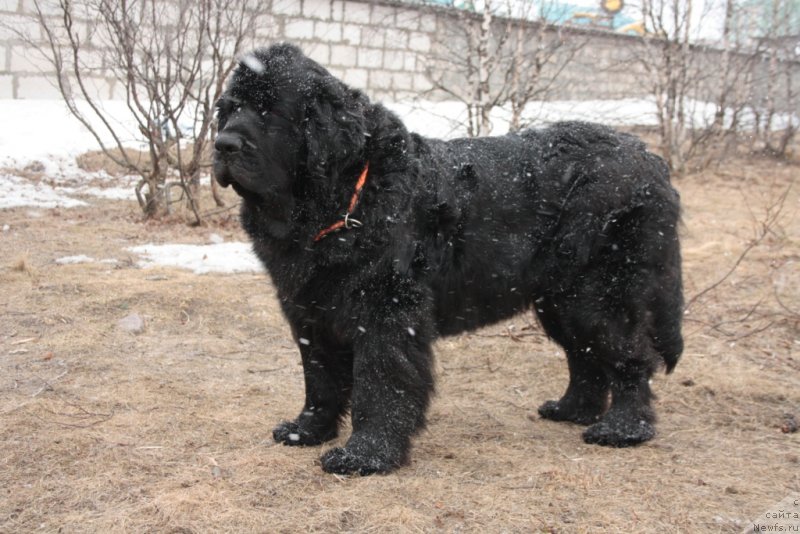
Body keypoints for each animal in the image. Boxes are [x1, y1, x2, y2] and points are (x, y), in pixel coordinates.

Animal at [212, 43, 680, 478]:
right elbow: (320, 378)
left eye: (270, 112)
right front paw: (306, 431)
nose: (222, 144)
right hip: (559, 299)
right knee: (585, 356)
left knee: (631, 356)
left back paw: (623, 428)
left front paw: (366, 455)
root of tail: (651, 160)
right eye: (229, 109)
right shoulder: (309, 309)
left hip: (598, 294)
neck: (347, 196)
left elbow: (380, 383)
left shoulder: (386, 311)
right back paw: (572, 410)